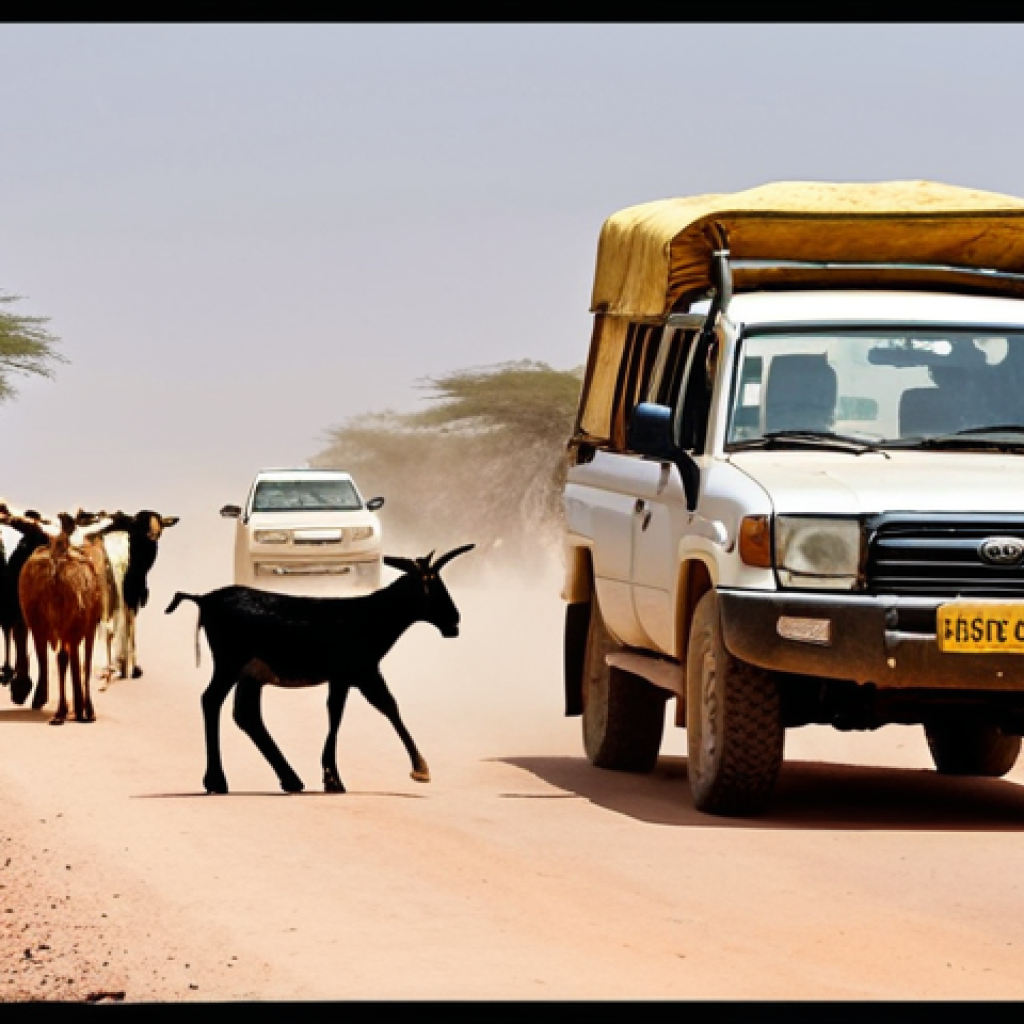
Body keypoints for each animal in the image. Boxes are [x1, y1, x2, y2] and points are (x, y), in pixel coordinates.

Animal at [18, 512, 104, 723]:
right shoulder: (87, 627)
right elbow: (85, 664)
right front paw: (86, 710)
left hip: (40, 625)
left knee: (50, 659)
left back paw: (56, 709)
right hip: (69, 627)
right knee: (67, 659)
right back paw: (74, 710)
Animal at [165, 544, 474, 795]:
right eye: (433, 585)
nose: (454, 619)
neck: (372, 617)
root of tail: (205, 599)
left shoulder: (343, 675)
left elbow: (336, 712)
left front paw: (331, 777)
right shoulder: (361, 669)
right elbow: (386, 706)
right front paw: (420, 769)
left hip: (250, 672)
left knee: (246, 713)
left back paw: (290, 780)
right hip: (230, 660)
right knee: (212, 700)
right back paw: (217, 781)